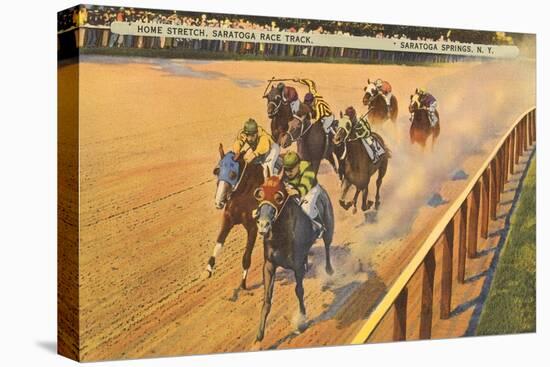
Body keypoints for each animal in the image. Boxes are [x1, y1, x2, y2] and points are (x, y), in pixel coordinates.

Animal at [208, 144, 266, 290]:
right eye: (217, 171)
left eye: (233, 174)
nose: (218, 202)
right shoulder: (228, 219)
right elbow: (219, 243)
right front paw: (208, 269)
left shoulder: (253, 228)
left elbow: (246, 257)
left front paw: (243, 284)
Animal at [254, 173, 336, 342]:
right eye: (260, 194)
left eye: (279, 197)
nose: (263, 224)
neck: (281, 236)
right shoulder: (269, 265)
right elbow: (267, 298)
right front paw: (260, 333)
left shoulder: (297, 267)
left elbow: (299, 290)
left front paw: (302, 321)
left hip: (329, 227)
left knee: (327, 246)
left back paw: (329, 271)